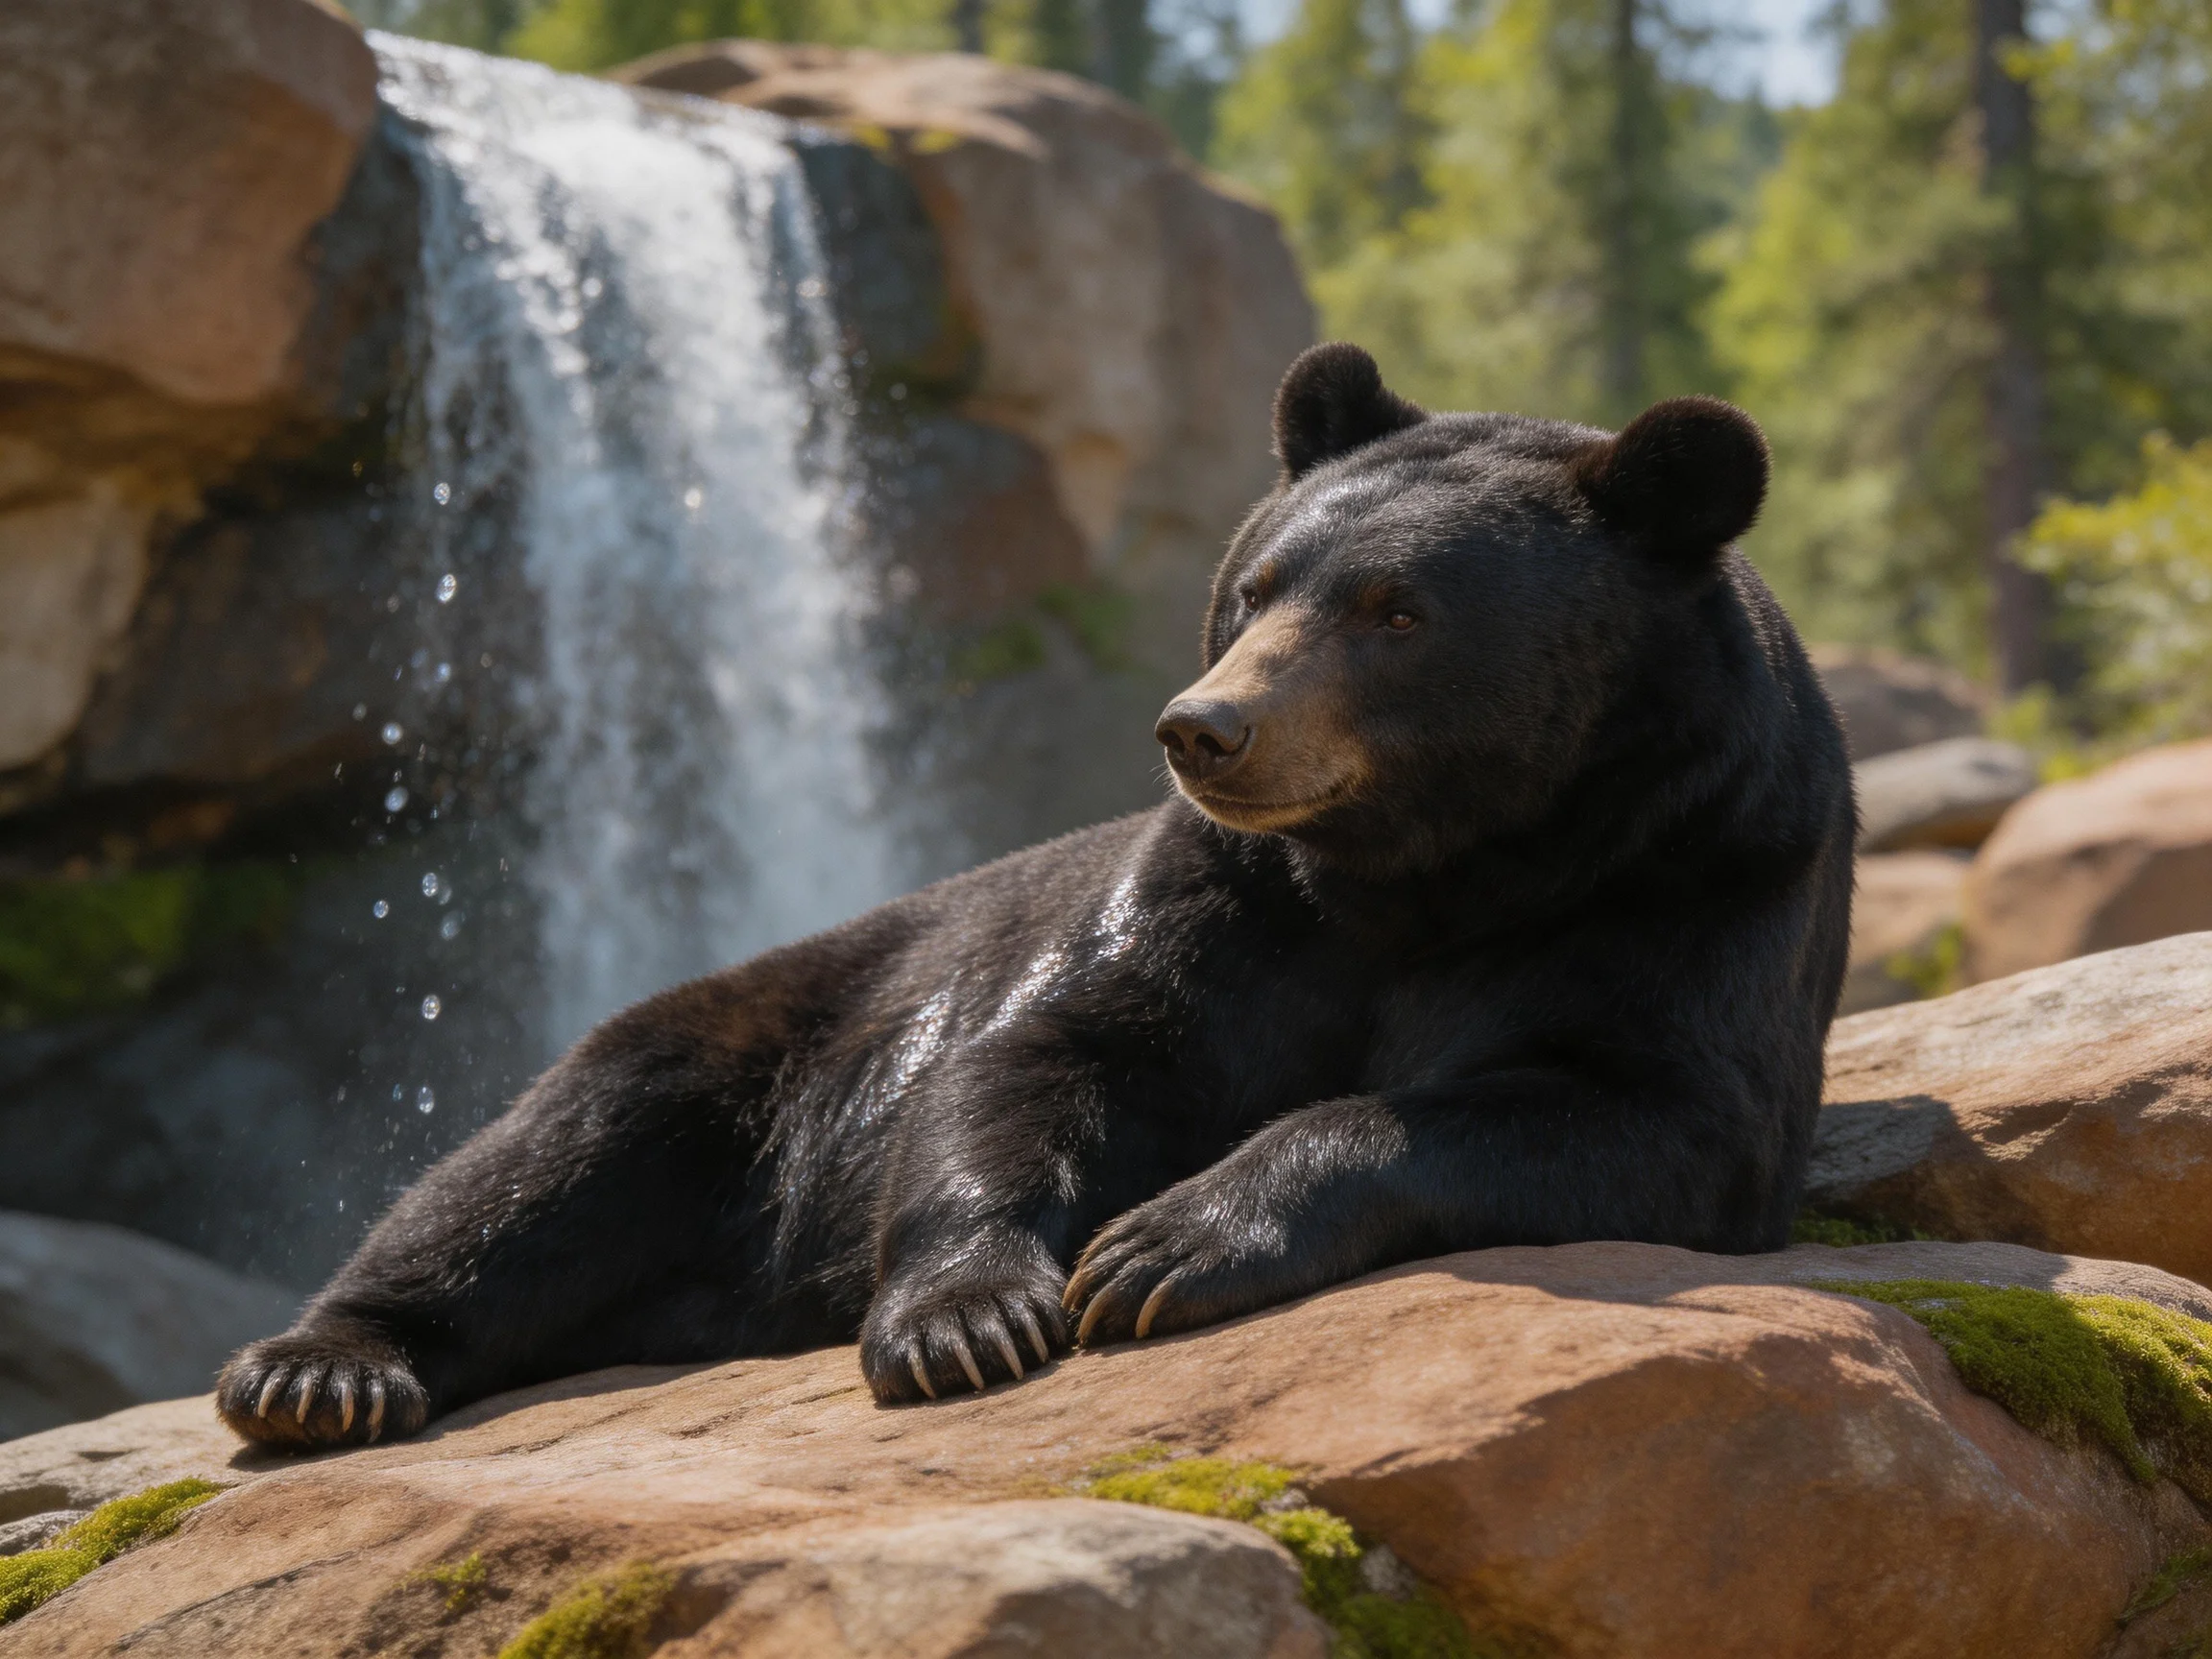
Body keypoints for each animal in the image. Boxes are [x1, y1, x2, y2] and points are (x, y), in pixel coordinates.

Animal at [218, 343, 1853, 1448]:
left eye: (1397, 613)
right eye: (1255, 588)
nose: (1207, 730)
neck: (1438, 862)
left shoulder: (1696, 887)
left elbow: (1636, 1116)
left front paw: (1166, 1244)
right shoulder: (1228, 910)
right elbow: (1042, 1054)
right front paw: (971, 1319)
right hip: (739, 1051)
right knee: (528, 1172)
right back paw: (318, 1368)